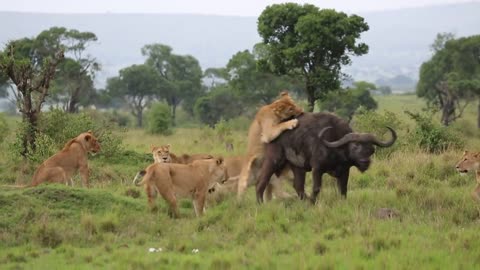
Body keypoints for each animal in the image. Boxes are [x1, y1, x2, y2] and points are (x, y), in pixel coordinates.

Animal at [256, 111, 396, 202]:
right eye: (355, 146)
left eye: (371, 149)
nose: (365, 161)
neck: (336, 149)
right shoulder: (317, 169)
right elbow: (316, 188)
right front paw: (313, 202)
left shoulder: (345, 171)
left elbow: (343, 189)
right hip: (273, 160)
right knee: (261, 182)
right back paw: (260, 203)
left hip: (297, 167)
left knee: (298, 186)